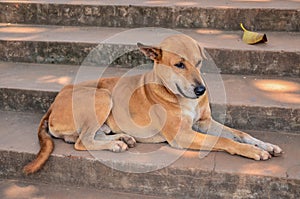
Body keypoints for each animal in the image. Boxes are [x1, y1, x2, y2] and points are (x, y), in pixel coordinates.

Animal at [22, 35, 282, 175]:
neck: (175, 93)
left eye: (199, 62)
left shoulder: (205, 122)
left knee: (85, 136)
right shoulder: (183, 135)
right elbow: (225, 141)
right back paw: (115, 145)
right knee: (81, 142)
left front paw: (265, 144)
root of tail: (53, 103)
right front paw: (253, 151)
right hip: (102, 96)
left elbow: (240, 133)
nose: (201, 91)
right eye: (179, 65)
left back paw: (122, 138)